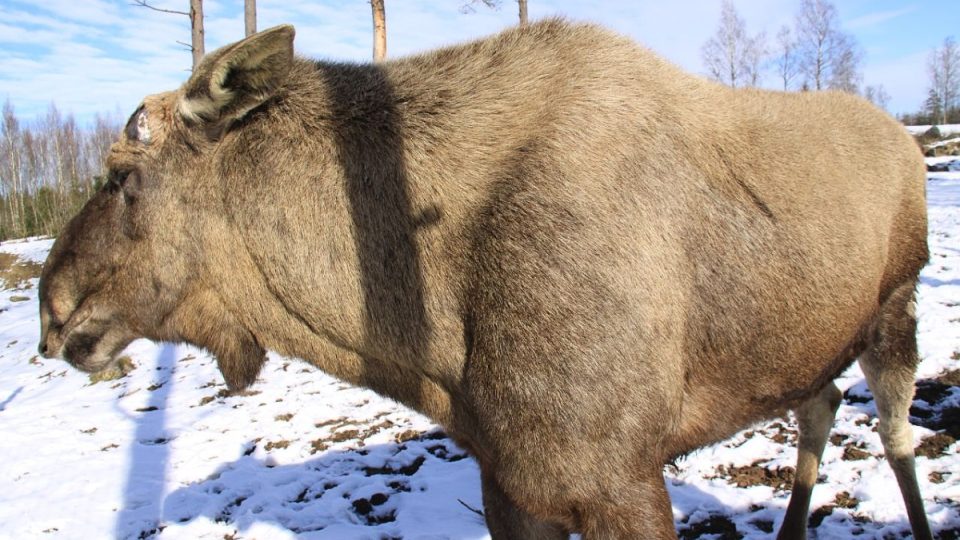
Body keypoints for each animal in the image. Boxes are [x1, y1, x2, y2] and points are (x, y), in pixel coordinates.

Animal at [37, 19, 928, 536]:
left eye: (120, 176)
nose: (51, 311)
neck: (422, 342)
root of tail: (906, 137)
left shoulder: (618, 479)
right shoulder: (513, 484)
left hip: (896, 311)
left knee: (894, 437)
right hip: (810, 342)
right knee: (819, 406)